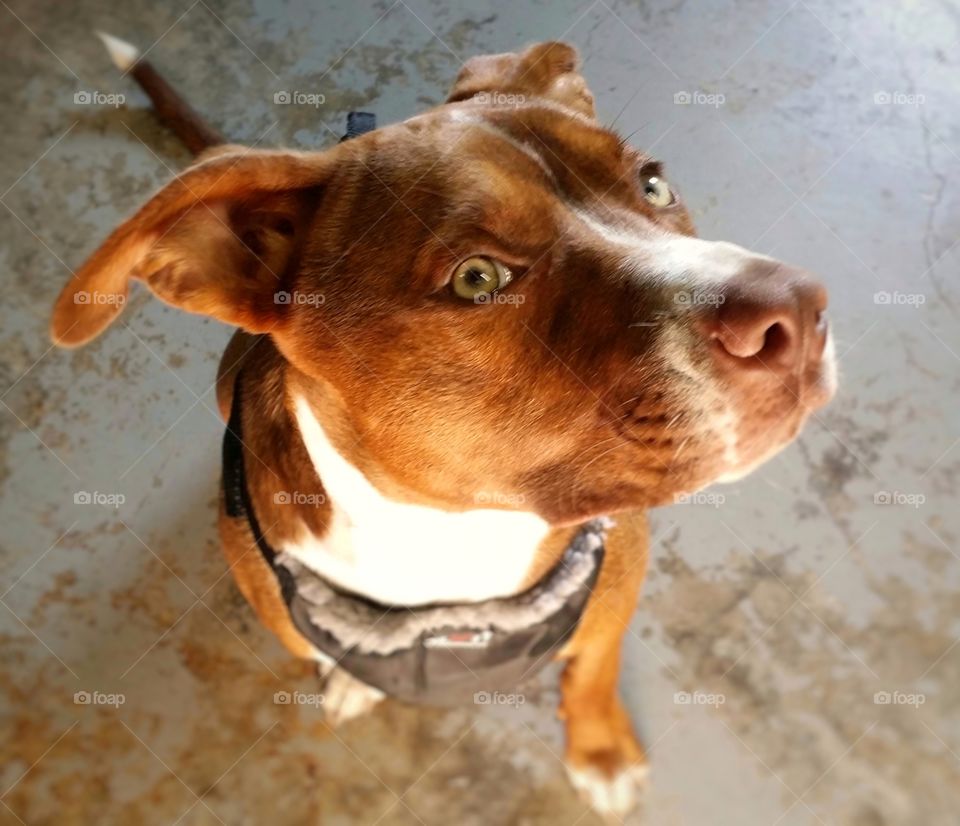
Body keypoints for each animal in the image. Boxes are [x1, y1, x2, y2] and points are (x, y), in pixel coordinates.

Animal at [50, 37, 832, 812]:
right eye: (477, 278)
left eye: (654, 185)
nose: (798, 308)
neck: (454, 534)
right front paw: (352, 678)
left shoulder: (615, 590)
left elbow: (592, 671)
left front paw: (601, 751)